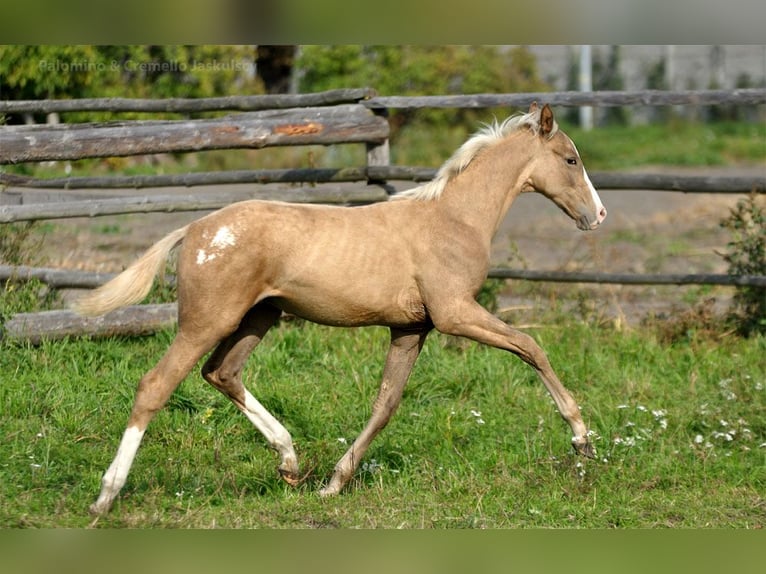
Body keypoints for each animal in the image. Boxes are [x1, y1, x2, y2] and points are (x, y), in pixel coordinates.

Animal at [75, 103, 607, 515]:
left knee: (221, 372)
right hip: (207, 321)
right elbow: (530, 346)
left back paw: (290, 464)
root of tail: (194, 230)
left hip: (257, 318)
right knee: (156, 385)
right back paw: (105, 496)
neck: (453, 218)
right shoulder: (454, 312)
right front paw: (582, 439)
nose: (598, 215)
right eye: (570, 158)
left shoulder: (412, 328)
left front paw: (334, 483)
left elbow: (386, 404)